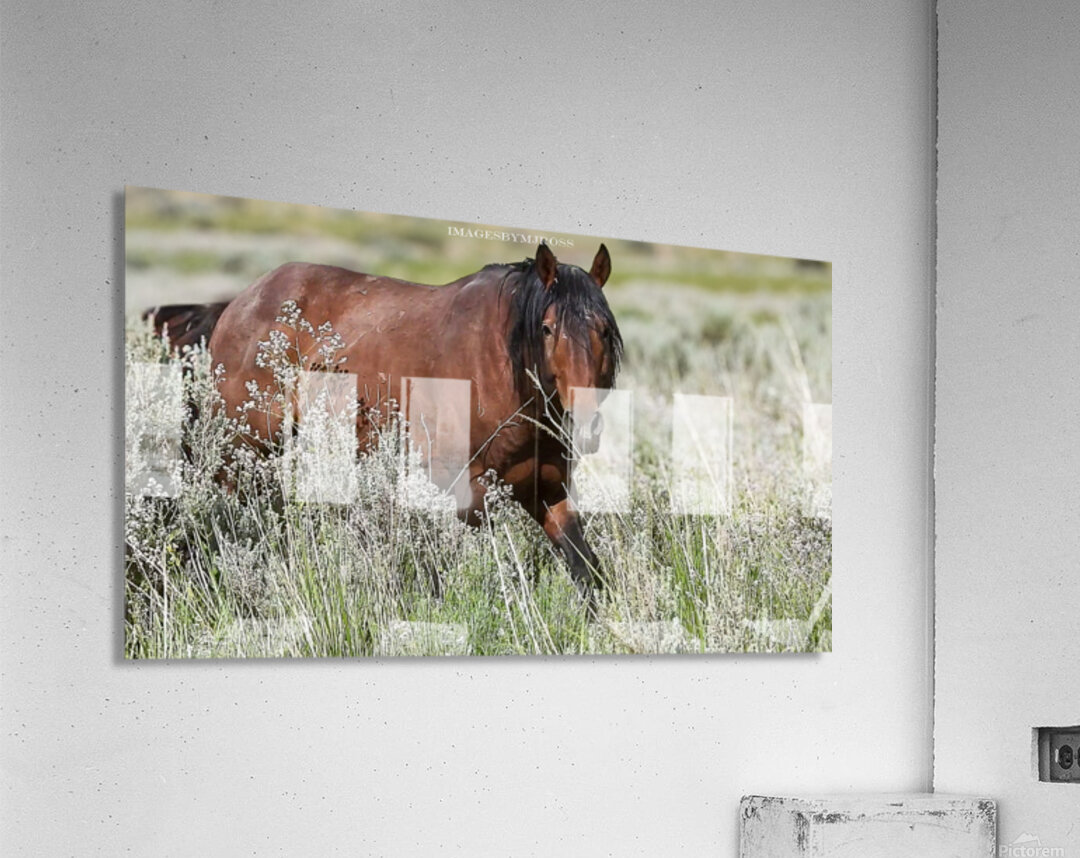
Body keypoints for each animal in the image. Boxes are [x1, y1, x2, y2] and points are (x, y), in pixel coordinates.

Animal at [147, 243, 623, 608]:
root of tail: (237, 304)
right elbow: (451, 575)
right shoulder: (464, 497)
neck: (501, 370)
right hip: (241, 448)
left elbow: (588, 571)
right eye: (547, 328)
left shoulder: (548, 492)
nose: (586, 425)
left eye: (603, 330)